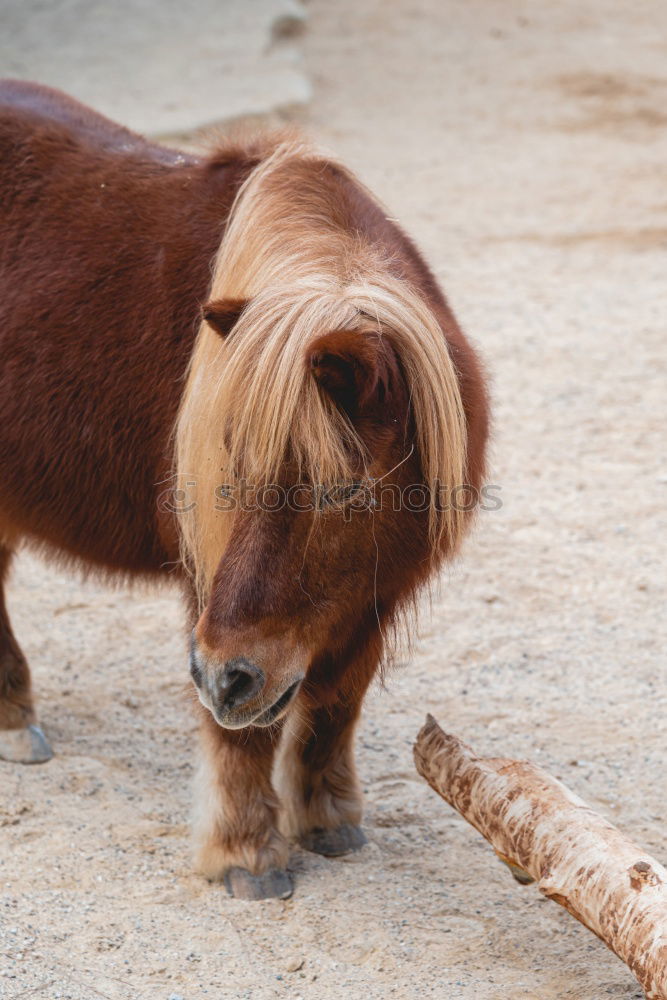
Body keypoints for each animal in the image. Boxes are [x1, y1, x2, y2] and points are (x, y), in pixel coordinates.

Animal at [0, 82, 490, 904]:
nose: (220, 677)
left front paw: (329, 823)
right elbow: (248, 733)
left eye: (341, 491)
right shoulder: (214, 597)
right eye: (227, 467)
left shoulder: (368, 603)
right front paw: (245, 857)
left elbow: (334, 707)